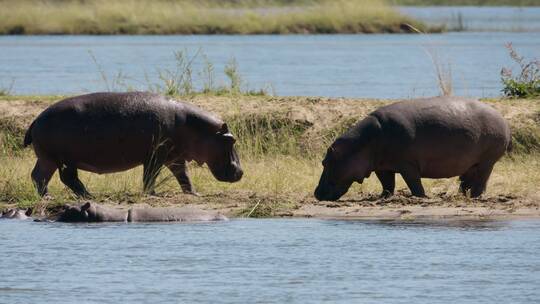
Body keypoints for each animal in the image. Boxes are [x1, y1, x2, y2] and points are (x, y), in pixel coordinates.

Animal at [23, 91, 243, 198]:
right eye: (231, 140)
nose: (241, 172)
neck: (196, 127)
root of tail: (36, 119)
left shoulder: (175, 157)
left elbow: (184, 175)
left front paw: (193, 193)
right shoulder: (155, 155)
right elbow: (150, 175)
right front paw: (152, 195)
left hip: (48, 158)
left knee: (38, 176)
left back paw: (48, 197)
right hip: (64, 159)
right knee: (68, 178)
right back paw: (87, 196)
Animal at [312, 97, 510, 201]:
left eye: (324, 162)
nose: (316, 193)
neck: (361, 144)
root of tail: (502, 118)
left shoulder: (407, 165)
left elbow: (414, 183)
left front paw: (420, 197)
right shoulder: (382, 167)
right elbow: (387, 184)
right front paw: (383, 197)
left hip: (487, 162)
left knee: (481, 181)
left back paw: (475, 197)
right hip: (470, 164)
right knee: (466, 181)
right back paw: (461, 196)